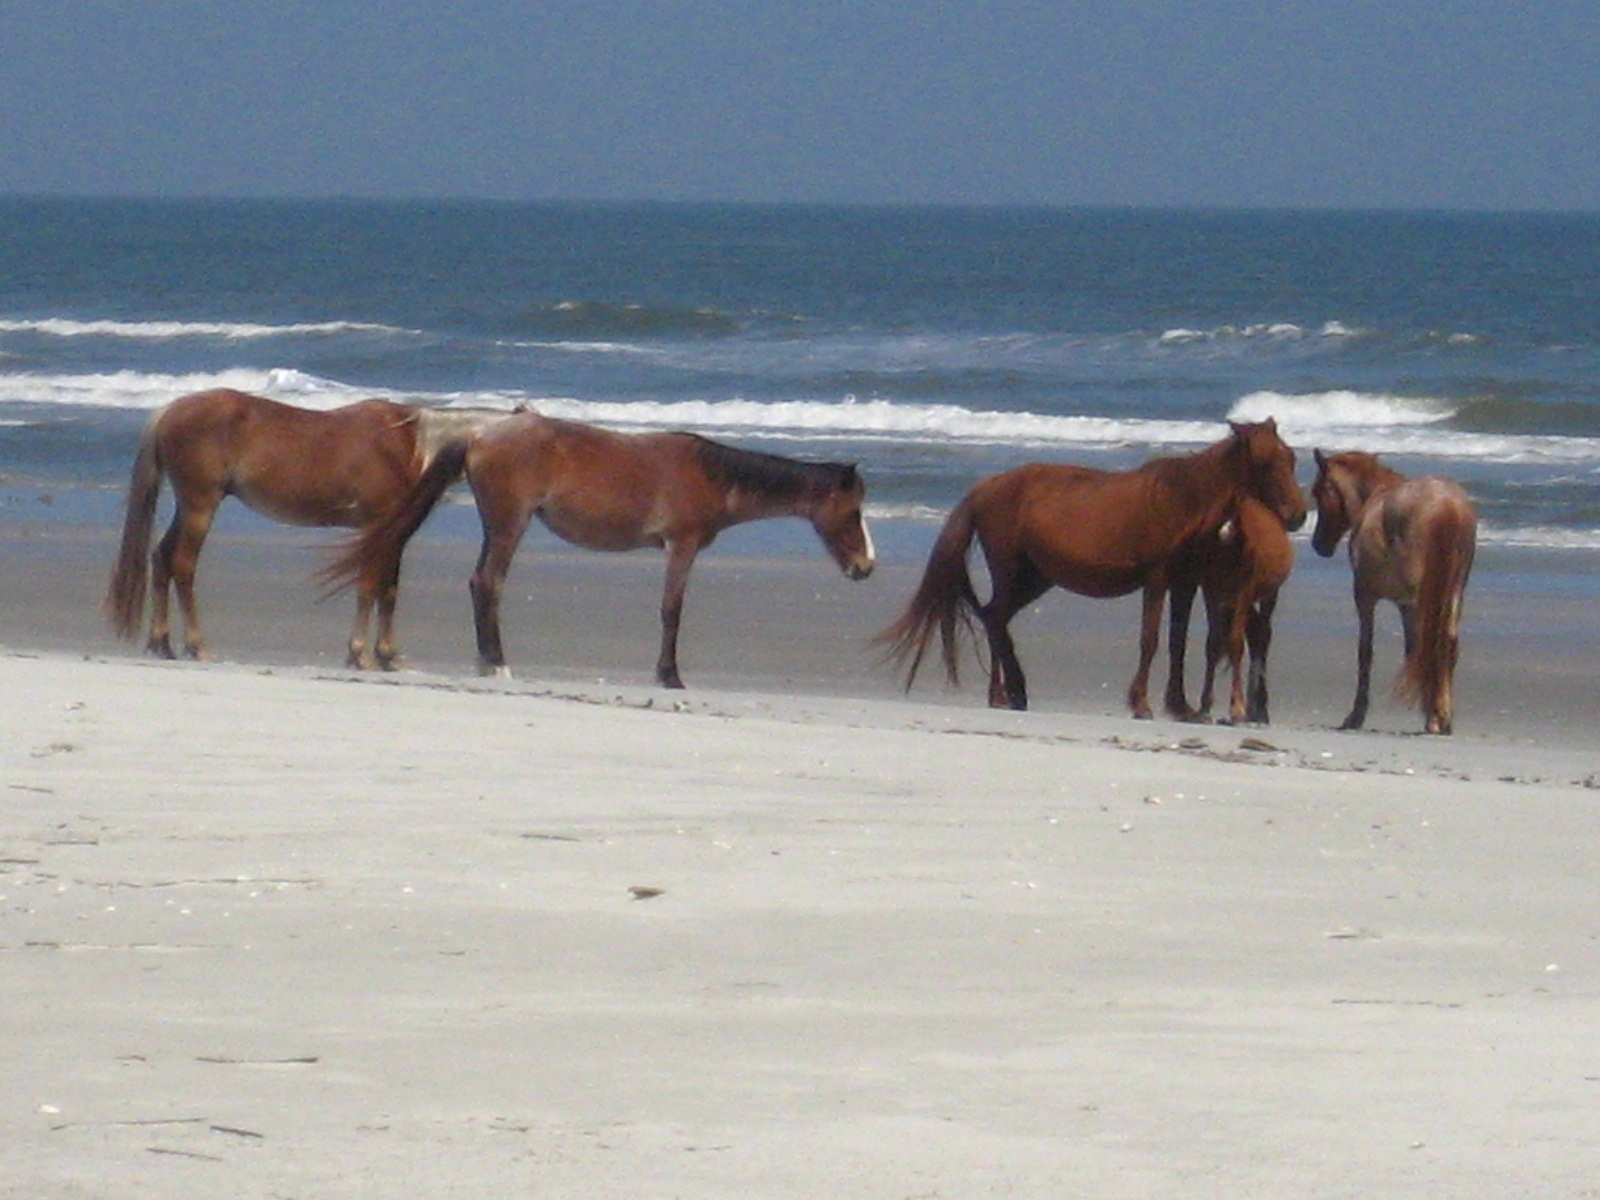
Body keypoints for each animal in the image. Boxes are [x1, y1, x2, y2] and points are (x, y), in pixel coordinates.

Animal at [104, 390, 505, 672]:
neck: (409, 445)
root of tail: (170, 410)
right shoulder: (378, 528)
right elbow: (369, 589)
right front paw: (360, 655)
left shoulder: (392, 534)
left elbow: (387, 592)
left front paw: (388, 656)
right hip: (200, 505)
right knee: (183, 566)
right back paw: (197, 646)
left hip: (190, 507)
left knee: (162, 558)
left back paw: (162, 643)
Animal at [321, 409, 876, 684]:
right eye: (853, 513)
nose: (867, 566)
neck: (712, 476)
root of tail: (480, 432)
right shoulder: (681, 546)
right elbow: (671, 610)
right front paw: (669, 675)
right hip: (509, 523)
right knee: (488, 583)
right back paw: (496, 661)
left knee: (481, 584)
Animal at [1164, 496, 1299, 729]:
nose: (1223, 533)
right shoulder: (1211, 590)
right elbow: (1213, 644)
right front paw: (1205, 707)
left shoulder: (1244, 591)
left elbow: (1236, 644)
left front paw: (1237, 709)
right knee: (1255, 633)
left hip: (1268, 594)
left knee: (1263, 634)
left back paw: (1258, 709)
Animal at [1312, 448, 1472, 739]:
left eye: (1318, 492)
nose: (1319, 544)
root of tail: (1448, 505)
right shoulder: (1404, 604)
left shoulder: (1367, 596)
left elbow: (1366, 651)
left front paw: (1356, 715)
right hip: (1454, 591)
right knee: (1448, 641)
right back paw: (1444, 716)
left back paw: (1436, 718)